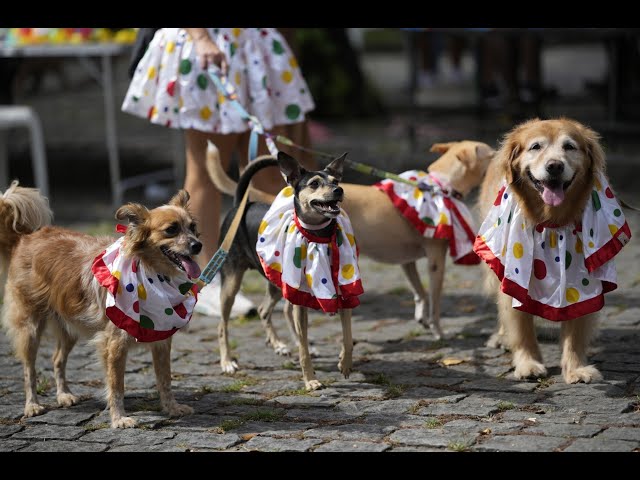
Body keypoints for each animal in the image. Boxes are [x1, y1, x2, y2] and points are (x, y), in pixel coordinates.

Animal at [0, 183, 199, 428]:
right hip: (30, 327)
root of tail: (25, 238)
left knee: (57, 360)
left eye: (193, 227)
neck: (152, 273)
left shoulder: (161, 342)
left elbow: (165, 380)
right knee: (29, 369)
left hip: (69, 326)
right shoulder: (114, 344)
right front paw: (119, 418)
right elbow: (116, 386)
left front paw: (171, 408)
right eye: (171, 229)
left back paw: (64, 395)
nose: (198, 245)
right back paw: (32, 405)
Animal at [208, 141, 492, 340]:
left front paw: (421, 317)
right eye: (490, 154)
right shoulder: (436, 261)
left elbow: (419, 292)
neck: (437, 186)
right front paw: (438, 331)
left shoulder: (407, 262)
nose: (501, 159)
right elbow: (434, 302)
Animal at [476, 118, 632, 384]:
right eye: (535, 146)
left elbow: (576, 330)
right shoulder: (514, 272)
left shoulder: (582, 277)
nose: (555, 166)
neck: (552, 221)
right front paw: (528, 363)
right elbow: (520, 325)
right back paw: (501, 337)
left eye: (569, 146)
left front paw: (576, 368)